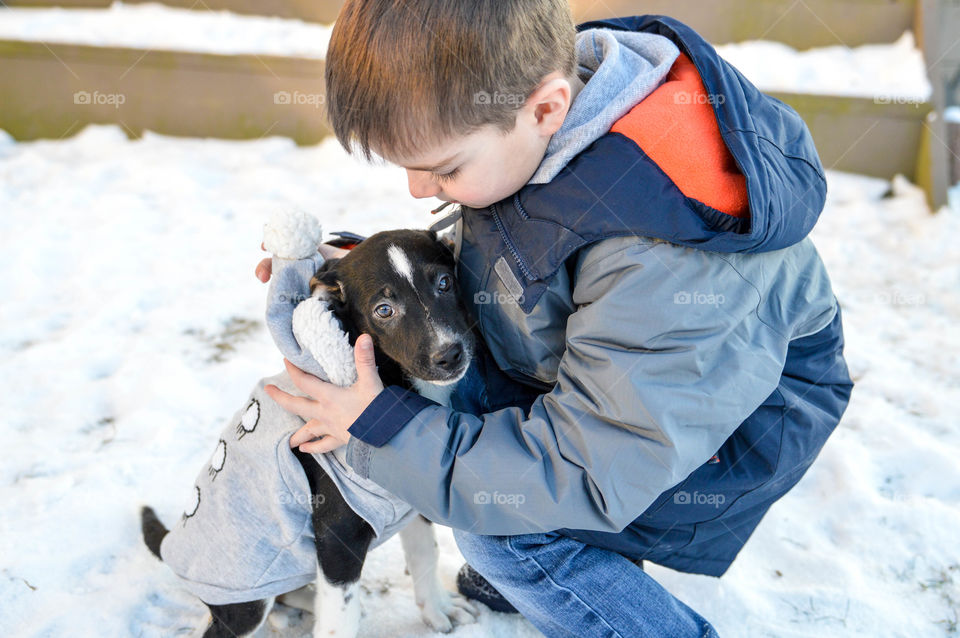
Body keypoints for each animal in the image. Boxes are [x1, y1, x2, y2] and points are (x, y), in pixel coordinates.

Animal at [141, 231, 478, 638]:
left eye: (444, 283)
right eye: (384, 310)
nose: (449, 355)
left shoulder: (412, 492)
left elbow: (426, 550)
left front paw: (438, 610)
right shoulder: (338, 535)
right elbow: (339, 621)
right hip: (247, 601)